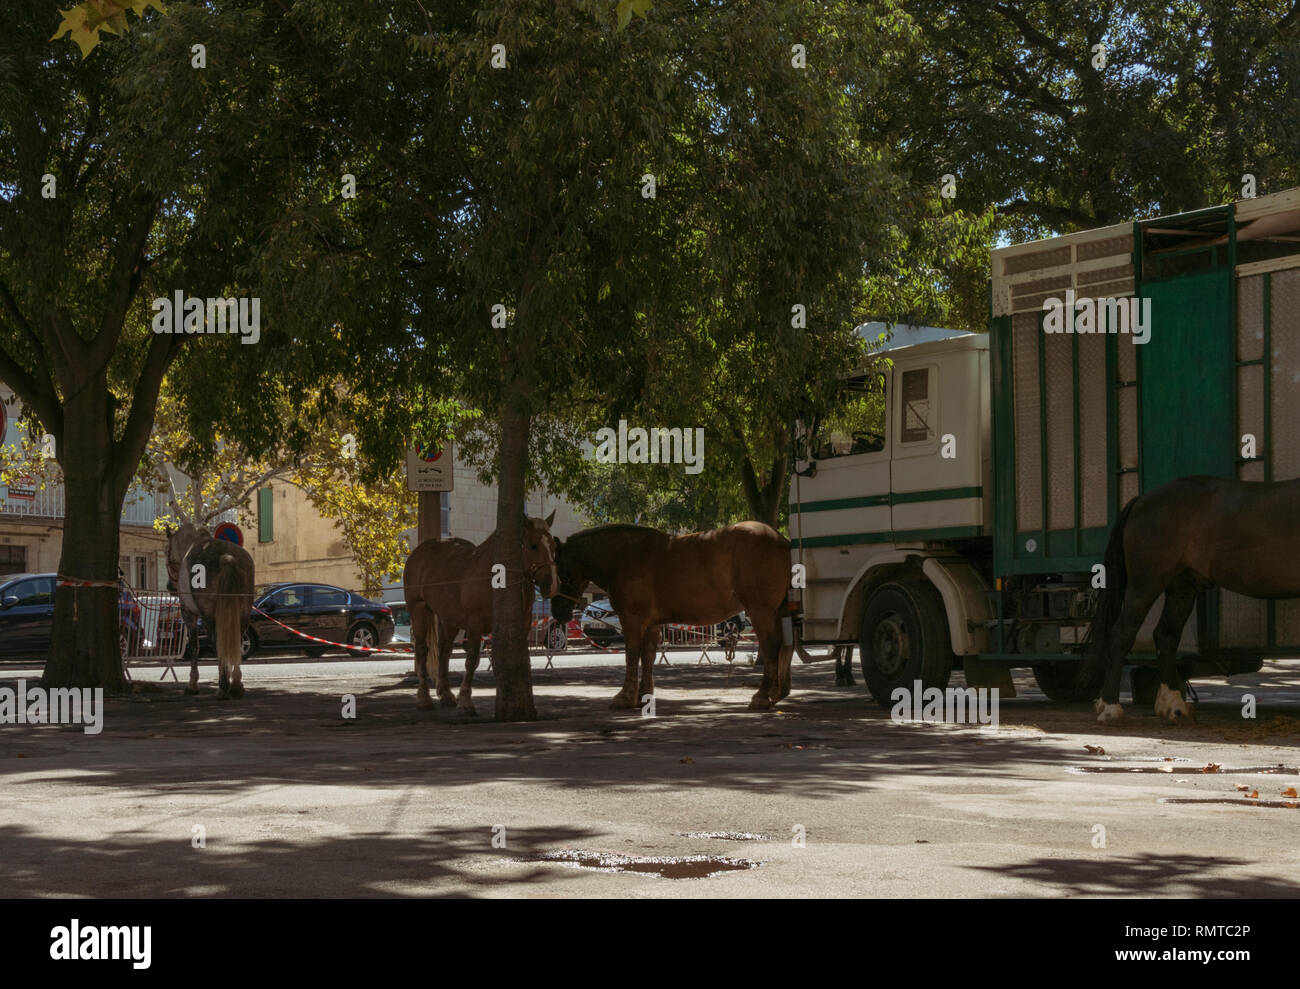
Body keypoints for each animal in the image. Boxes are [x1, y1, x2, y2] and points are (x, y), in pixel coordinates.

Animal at [400, 512, 553, 712]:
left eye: (553, 545)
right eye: (533, 545)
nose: (551, 583)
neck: (495, 575)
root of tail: (419, 551)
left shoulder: (520, 622)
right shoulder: (475, 622)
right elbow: (472, 660)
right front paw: (466, 700)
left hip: (449, 618)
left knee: (444, 651)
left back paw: (446, 693)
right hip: (418, 609)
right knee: (421, 650)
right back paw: (424, 697)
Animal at [548, 519, 790, 706]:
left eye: (558, 571)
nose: (557, 611)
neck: (625, 557)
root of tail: (781, 540)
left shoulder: (632, 619)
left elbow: (631, 654)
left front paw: (625, 696)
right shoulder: (651, 623)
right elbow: (647, 656)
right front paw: (643, 695)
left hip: (761, 611)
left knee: (771, 647)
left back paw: (762, 696)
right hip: (775, 612)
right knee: (782, 646)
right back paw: (777, 693)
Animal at [1081, 475, 1300, 722]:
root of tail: (1141, 501)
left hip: (1182, 588)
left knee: (1166, 636)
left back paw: (1174, 706)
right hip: (1144, 585)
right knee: (1122, 635)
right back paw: (1111, 708)